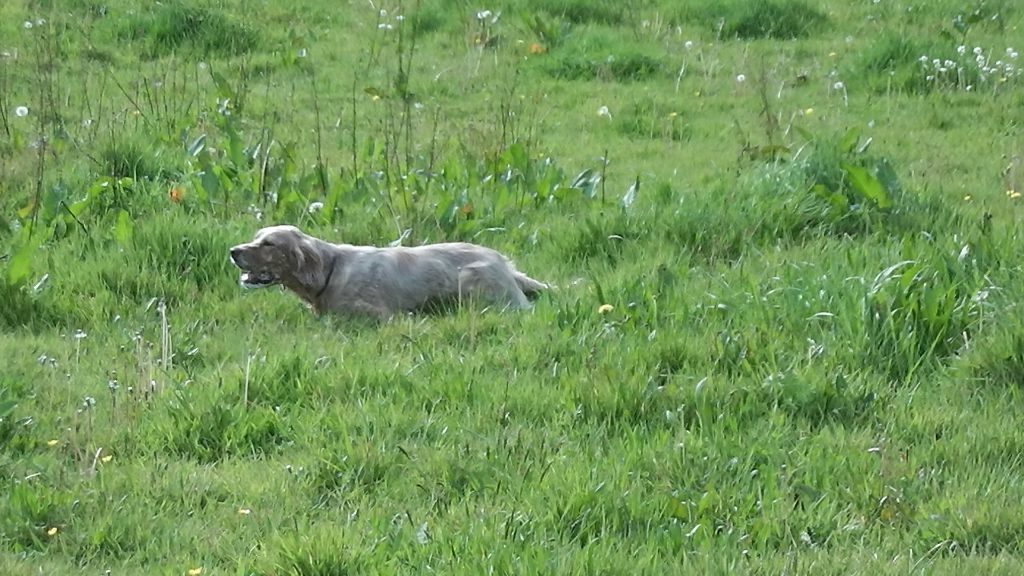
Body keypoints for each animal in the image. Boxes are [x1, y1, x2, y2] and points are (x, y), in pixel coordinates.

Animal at [230, 224, 552, 317]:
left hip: (471, 280)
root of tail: (503, 263)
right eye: (257, 237)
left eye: (269, 243)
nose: (232, 251)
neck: (331, 272)